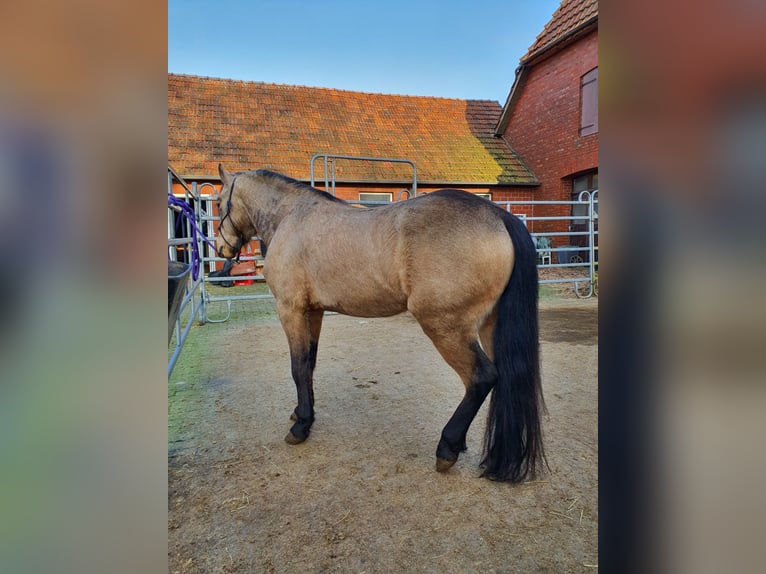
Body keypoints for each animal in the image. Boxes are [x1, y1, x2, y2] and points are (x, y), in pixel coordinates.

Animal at [215, 164, 546, 482]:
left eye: (218, 202)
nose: (221, 250)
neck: (291, 217)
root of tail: (499, 217)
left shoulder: (290, 309)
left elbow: (297, 367)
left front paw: (301, 427)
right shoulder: (314, 312)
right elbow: (308, 364)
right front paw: (301, 413)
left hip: (445, 326)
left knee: (482, 378)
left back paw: (448, 447)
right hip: (489, 326)